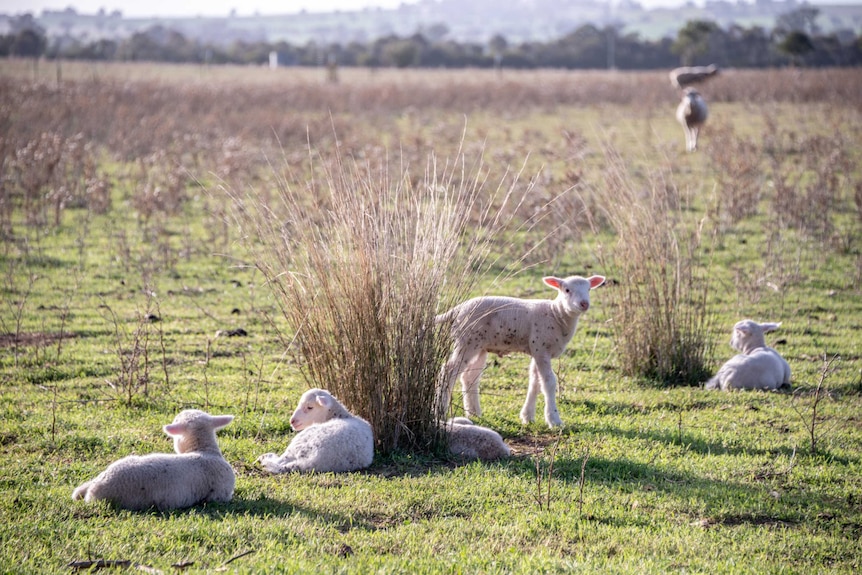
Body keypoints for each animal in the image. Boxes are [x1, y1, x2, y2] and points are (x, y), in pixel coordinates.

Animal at [438, 274, 608, 428]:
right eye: (567, 290)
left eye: (589, 289)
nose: (584, 304)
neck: (556, 314)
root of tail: (457, 309)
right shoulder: (541, 349)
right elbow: (549, 382)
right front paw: (554, 420)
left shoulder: (537, 350)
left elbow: (535, 382)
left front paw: (527, 416)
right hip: (466, 341)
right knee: (448, 370)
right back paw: (441, 409)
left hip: (479, 346)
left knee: (469, 377)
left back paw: (474, 413)